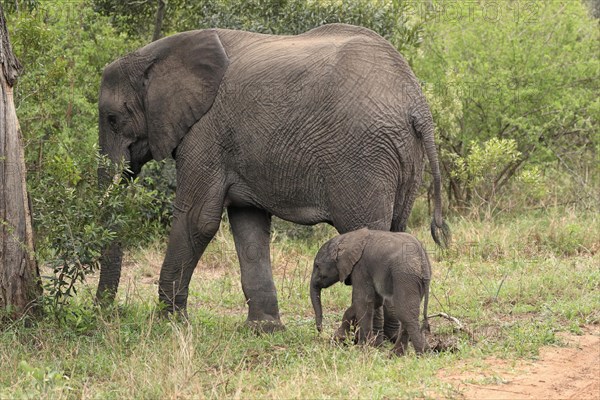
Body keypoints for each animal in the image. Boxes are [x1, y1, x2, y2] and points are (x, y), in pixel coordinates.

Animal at [96, 24, 448, 332]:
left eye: (112, 119)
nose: (106, 310)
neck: (154, 54)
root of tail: (417, 105)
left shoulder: (205, 132)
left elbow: (198, 220)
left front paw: (169, 326)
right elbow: (248, 225)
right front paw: (263, 330)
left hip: (364, 156)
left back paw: (370, 340)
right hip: (403, 155)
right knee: (397, 228)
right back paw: (391, 338)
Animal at [310, 228, 432, 356]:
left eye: (317, 265)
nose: (321, 330)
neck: (347, 238)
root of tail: (423, 261)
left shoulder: (360, 268)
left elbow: (363, 301)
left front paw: (361, 349)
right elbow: (375, 301)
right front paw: (340, 339)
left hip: (405, 276)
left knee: (405, 314)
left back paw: (421, 355)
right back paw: (396, 355)